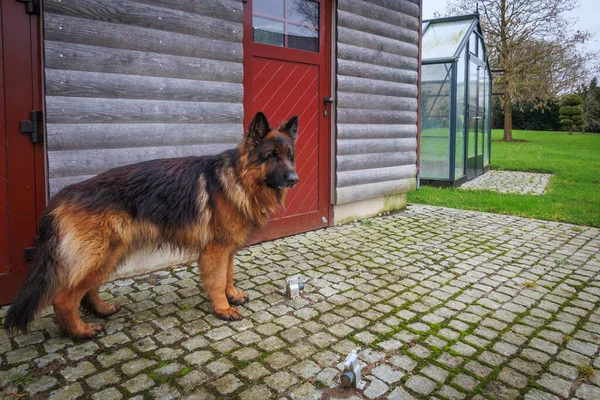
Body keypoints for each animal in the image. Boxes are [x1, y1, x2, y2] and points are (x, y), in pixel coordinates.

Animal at [2, 112, 298, 340]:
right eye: (271, 156)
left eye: (289, 156)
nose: (294, 179)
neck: (239, 177)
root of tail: (61, 196)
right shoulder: (215, 250)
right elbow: (216, 281)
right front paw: (223, 309)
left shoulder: (228, 249)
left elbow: (228, 275)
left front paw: (232, 295)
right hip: (100, 255)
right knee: (63, 298)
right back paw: (80, 332)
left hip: (110, 254)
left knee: (87, 291)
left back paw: (101, 310)